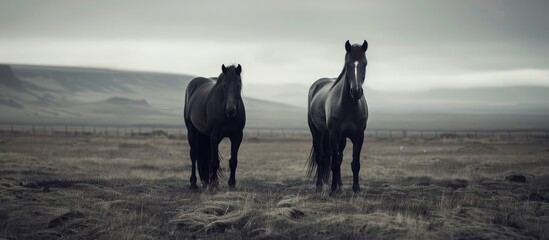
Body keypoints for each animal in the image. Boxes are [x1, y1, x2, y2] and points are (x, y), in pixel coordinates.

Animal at [304, 39, 368, 193]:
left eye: (365, 63)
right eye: (347, 64)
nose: (356, 91)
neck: (349, 107)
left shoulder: (359, 136)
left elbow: (355, 163)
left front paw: (356, 189)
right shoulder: (333, 135)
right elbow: (333, 163)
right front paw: (332, 189)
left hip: (341, 139)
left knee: (338, 157)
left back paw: (340, 184)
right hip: (318, 133)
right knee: (321, 158)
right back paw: (320, 185)